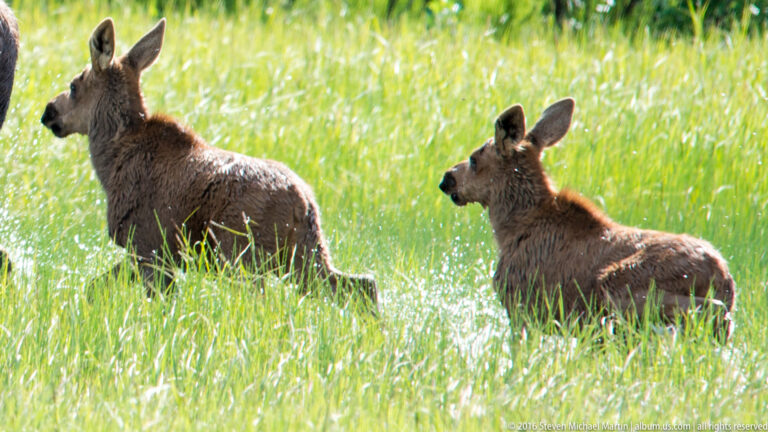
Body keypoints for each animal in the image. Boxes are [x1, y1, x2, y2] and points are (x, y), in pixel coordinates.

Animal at [40, 18, 377, 310]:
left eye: (74, 85)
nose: (48, 112)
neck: (110, 165)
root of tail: (305, 204)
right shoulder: (152, 253)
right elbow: (93, 287)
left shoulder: (149, 246)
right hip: (305, 255)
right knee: (362, 284)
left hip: (243, 254)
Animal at [439, 98, 735, 340]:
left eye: (474, 159)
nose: (446, 179)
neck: (508, 231)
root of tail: (724, 278)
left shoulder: (521, 307)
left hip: (620, 288)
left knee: (707, 313)